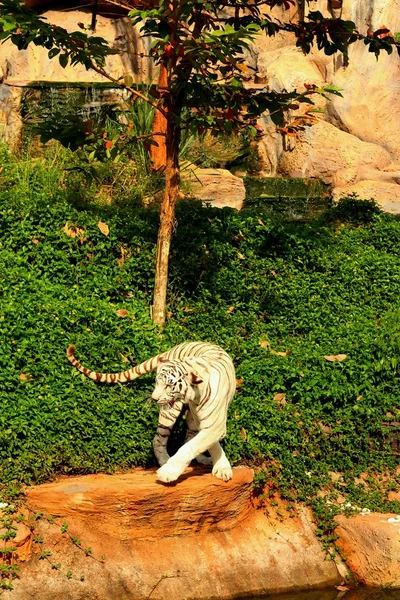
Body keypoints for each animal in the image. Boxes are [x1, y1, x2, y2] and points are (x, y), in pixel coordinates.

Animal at [65, 342, 234, 482]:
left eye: (169, 386)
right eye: (157, 382)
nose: (154, 398)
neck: (195, 397)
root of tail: (177, 347)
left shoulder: (214, 424)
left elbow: (195, 445)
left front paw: (221, 468)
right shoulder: (207, 423)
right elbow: (197, 445)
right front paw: (168, 472)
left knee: (188, 436)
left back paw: (202, 460)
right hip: (171, 411)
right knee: (158, 439)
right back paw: (165, 461)